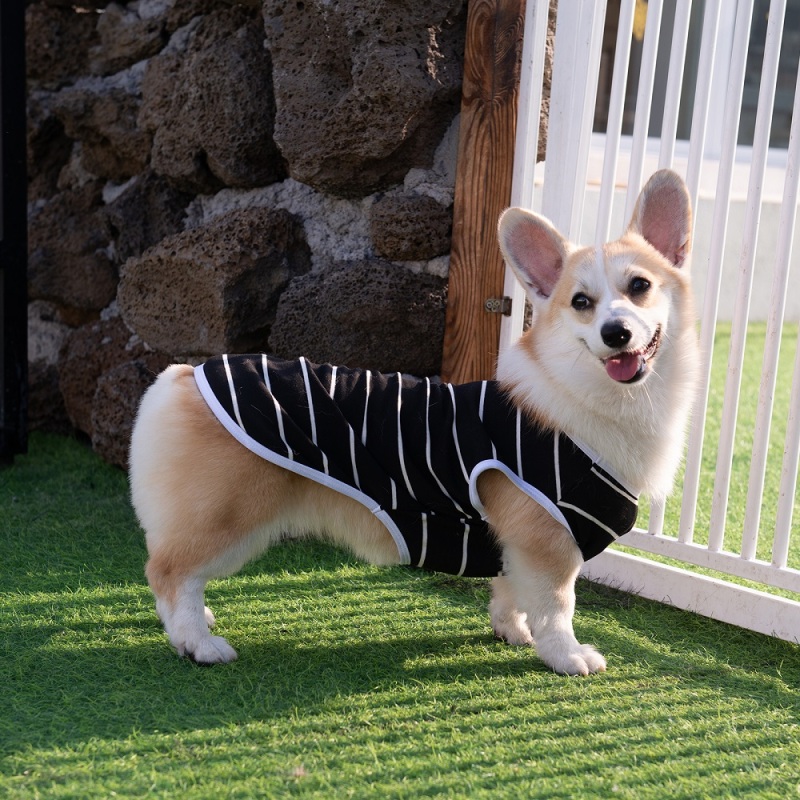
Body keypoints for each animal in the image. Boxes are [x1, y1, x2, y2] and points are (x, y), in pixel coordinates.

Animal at [130, 169, 692, 676]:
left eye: (639, 286)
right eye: (580, 303)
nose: (616, 333)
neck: (588, 395)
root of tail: (182, 376)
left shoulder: (516, 545)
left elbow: (511, 593)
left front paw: (512, 632)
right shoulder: (549, 541)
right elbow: (557, 608)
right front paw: (566, 657)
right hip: (228, 516)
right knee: (169, 573)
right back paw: (198, 644)